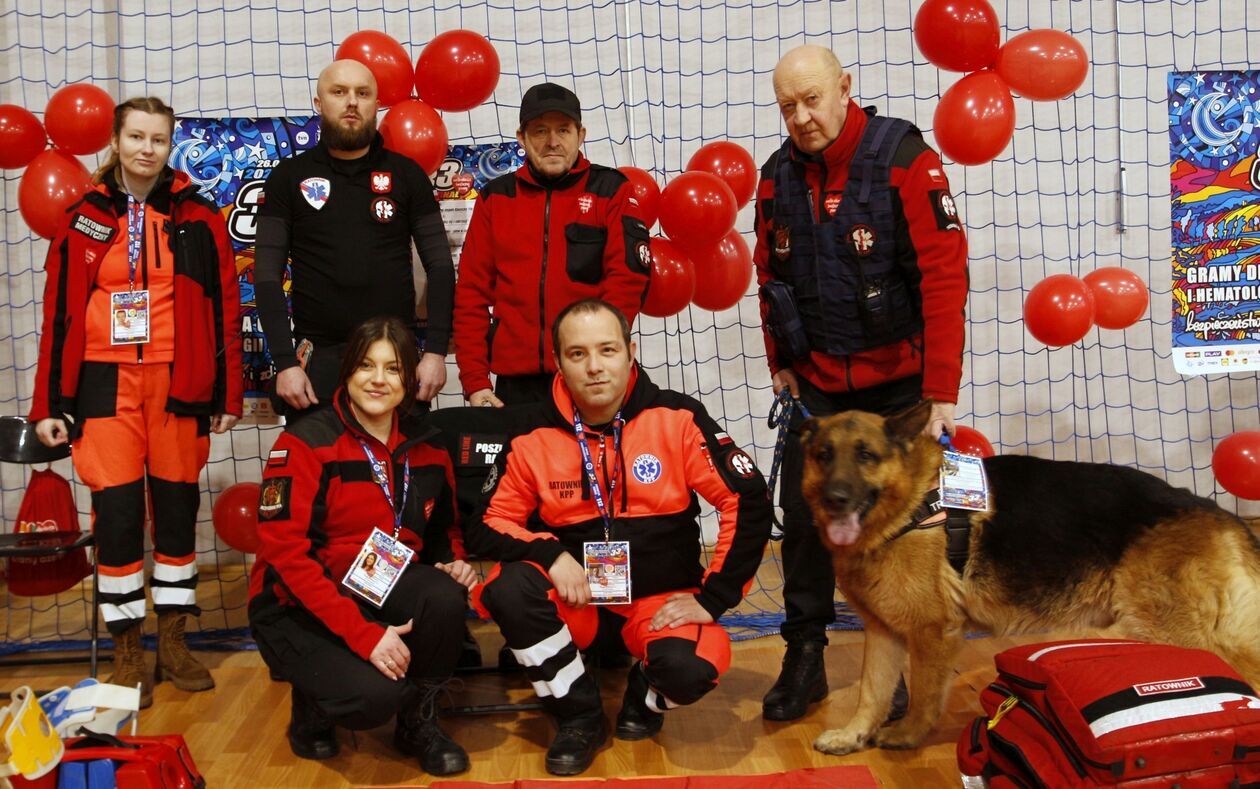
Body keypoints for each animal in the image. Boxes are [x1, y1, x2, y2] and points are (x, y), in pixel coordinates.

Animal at [800, 400, 1260, 756]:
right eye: (824, 455)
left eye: (866, 456)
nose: (835, 498)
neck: (910, 504)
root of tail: (1221, 514)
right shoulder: (883, 631)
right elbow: (872, 691)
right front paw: (853, 735)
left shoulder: (933, 633)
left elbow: (925, 694)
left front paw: (907, 736)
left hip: (1173, 632)